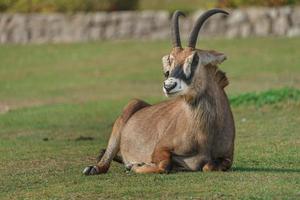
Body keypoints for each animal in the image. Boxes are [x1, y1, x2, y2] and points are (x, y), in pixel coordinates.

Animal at [83, 9, 236, 175]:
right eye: (171, 59)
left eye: (195, 59)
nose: (169, 86)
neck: (204, 136)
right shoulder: (160, 148)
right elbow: (164, 165)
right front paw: (136, 166)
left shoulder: (227, 158)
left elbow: (209, 166)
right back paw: (95, 168)